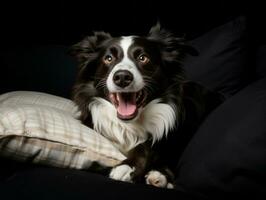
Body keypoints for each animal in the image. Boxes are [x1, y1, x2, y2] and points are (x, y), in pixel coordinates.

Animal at [69, 23, 223, 189]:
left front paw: (129, 166)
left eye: (143, 58)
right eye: (108, 58)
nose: (122, 77)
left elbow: (147, 146)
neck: (129, 125)